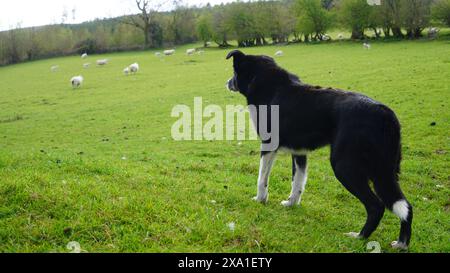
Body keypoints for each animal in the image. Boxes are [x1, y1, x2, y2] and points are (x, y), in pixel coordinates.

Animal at [227, 50, 414, 250]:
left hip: (345, 166)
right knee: (406, 206)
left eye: (235, 73)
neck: (267, 83)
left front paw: (260, 200)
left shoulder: (269, 145)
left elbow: (262, 179)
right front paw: (291, 204)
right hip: (385, 172)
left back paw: (359, 236)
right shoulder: (299, 152)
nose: (227, 82)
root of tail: (385, 114)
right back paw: (401, 243)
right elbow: (298, 182)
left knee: (376, 206)